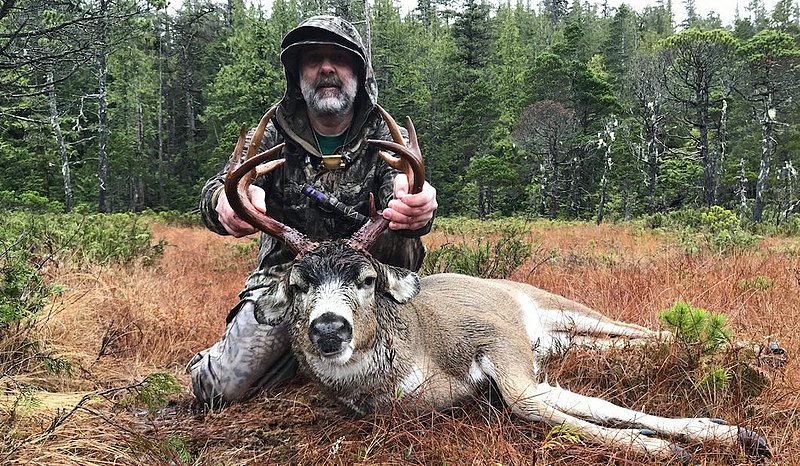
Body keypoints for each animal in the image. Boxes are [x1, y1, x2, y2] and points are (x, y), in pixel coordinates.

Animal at [223, 105, 774, 463]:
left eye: (366, 278)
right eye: (299, 283)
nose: (329, 329)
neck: (416, 359)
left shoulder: (497, 337)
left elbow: (533, 402)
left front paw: (701, 439)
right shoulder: (513, 369)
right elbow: (558, 402)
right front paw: (706, 436)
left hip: (559, 306)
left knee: (647, 330)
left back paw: (767, 349)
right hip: (564, 341)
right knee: (635, 346)